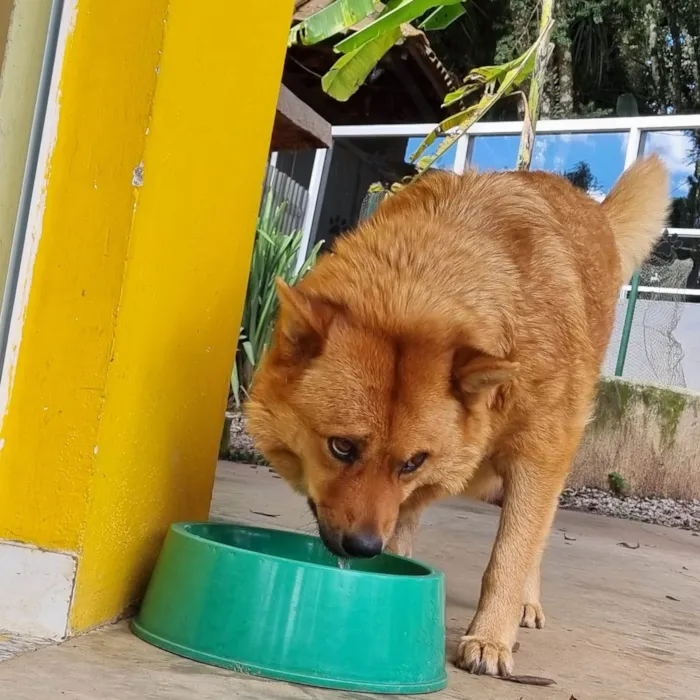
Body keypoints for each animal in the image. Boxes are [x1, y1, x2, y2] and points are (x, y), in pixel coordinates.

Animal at [245, 156, 668, 676]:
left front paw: (491, 637)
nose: (364, 549)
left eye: (411, 461)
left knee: (536, 536)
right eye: (341, 447)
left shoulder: (536, 455)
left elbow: (512, 552)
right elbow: (404, 526)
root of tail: (592, 208)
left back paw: (525, 602)